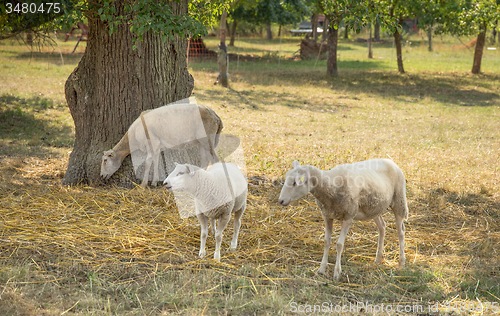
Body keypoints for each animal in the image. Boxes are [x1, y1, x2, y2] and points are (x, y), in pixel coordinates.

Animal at [280, 159, 408, 280]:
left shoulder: (348, 217)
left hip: (399, 200)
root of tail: (390, 161)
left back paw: (401, 262)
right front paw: (321, 269)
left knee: (401, 232)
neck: (330, 187)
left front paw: (337, 273)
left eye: (295, 182)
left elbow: (339, 245)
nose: (280, 201)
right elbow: (326, 242)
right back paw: (378, 259)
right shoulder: (327, 216)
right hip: (374, 208)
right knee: (382, 227)